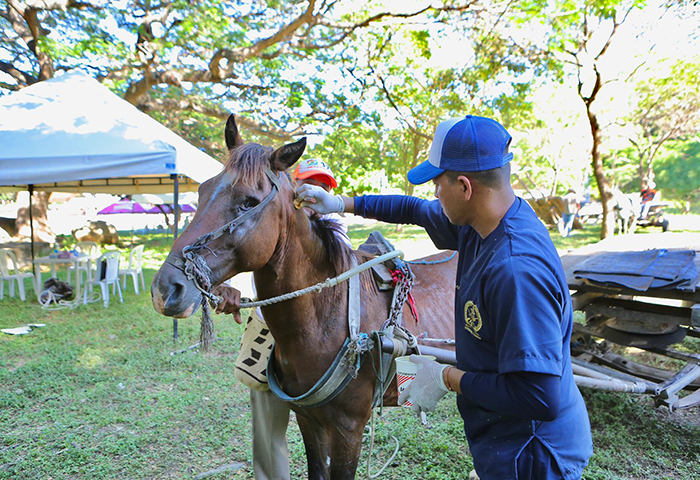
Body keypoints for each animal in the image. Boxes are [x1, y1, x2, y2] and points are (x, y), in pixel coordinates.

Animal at [151, 115, 456, 479]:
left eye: (248, 201)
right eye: (202, 190)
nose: (166, 288)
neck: (330, 317)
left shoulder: (349, 430)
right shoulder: (308, 420)